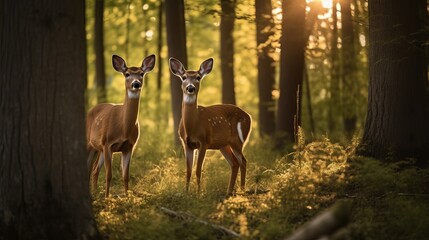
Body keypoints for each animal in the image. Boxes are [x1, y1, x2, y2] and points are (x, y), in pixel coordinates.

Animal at [86, 53, 155, 196]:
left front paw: (128, 197)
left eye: (141, 73)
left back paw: (94, 194)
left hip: (98, 148)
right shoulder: (108, 143)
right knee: (90, 168)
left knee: (93, 169)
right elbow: (109, 175)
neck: (124, 128)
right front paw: (107, 198)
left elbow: (125, 175)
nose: (136, 84)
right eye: (127, 74)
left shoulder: (129, 146)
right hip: (91, 143)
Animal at [169, 57, 252, 195]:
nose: (190, 88)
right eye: (184, 77)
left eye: (198, 77)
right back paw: (229, 192)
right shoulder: (187, 144)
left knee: (243, 162)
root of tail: (249, 116)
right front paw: (185, 193)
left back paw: (242, 190)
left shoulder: (204, 142)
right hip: (223, 145)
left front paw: (198, 193)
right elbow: (188, 171)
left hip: (238, 140)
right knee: (235, 163)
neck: (192, 126)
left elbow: (198, 170)